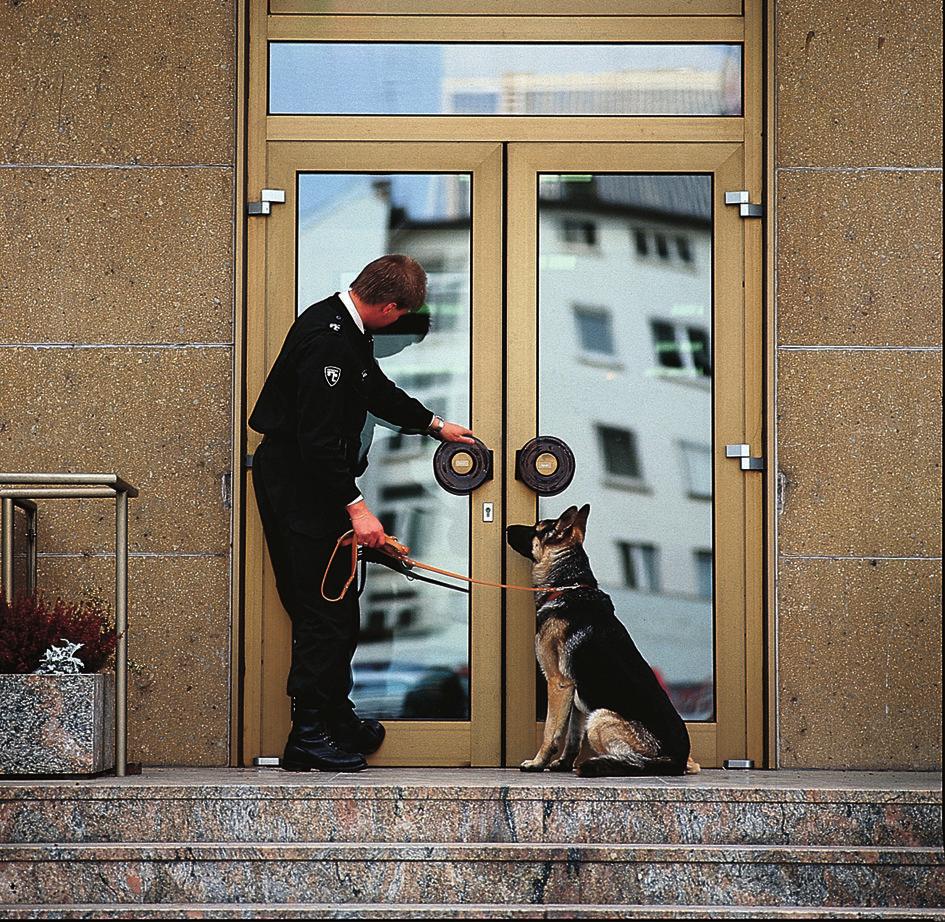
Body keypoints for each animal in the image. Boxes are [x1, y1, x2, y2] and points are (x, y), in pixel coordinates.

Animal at [508, 504, 700, 776]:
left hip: (600, 717)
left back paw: (605, 764)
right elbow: (572, 737)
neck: (568, 585)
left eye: (537, 528)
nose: (506, 528)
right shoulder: (576, 695)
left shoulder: (558, 684)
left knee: (638, 764)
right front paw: (563, 763)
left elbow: (551, 731)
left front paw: (538, 762)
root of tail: (677, 761)